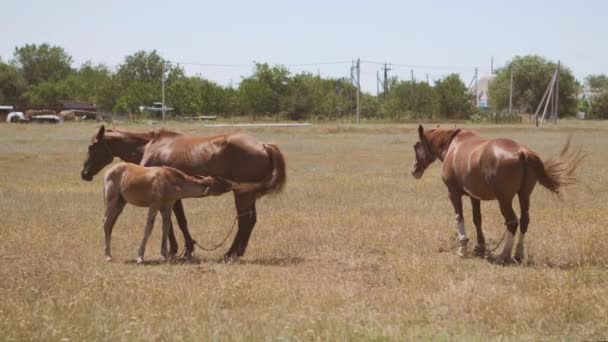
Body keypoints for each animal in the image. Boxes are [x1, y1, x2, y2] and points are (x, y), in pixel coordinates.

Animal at [81, 125, 288, 260]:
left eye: (92, 147)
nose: (84, 173)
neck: (150, 146)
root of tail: (263, 145)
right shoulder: (173, 196)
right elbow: (177, 221)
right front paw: (184, 249)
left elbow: (176, 222)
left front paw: (177, 250)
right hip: (247, 195)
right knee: (250, 221)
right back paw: (236, 252)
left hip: (242, 195)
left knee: (245, 222)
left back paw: (230, 254)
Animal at [410, 124, 580, 264]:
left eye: (416, 146)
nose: (414, 171)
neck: (453, 147)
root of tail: (522, 152)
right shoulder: (474, 197)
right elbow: (477, 220)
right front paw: (480, 247)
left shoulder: (453, 193)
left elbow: (459, 217)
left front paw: (462, 248)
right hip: (524, 195)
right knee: (524, 220)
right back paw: (518, 254)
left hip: (504, 200)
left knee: (512, 222)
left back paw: (504, 255)